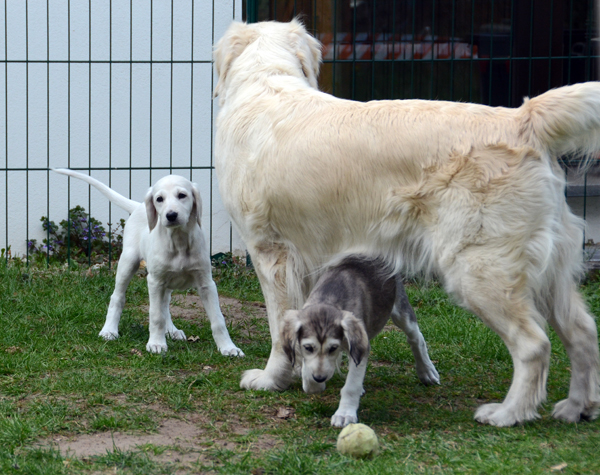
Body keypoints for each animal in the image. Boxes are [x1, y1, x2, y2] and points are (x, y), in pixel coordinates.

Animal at [53, 168, 244, 356]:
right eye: (159, 199)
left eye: (182, 195)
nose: (171, 215)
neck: (179, 241)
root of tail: (138, 206)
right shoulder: (155, 281)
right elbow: (156, 316)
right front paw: (156, 343)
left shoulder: (206, 283)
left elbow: (218, 319)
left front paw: (228, 347)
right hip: (128, 263)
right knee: (118, 297)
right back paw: (109, 330)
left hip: (166, 281)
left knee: (165, 305)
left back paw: (172, 330)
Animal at [278, 256, 438, 428]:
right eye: (308, 347)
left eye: (333, 348)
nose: (320, 377)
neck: (328, 298)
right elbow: (309, 380)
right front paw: (315, 383)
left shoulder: (360, 347)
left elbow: (351, 385)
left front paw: (344, 413)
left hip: (401, 310)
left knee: (416, 338)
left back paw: (427, 371)